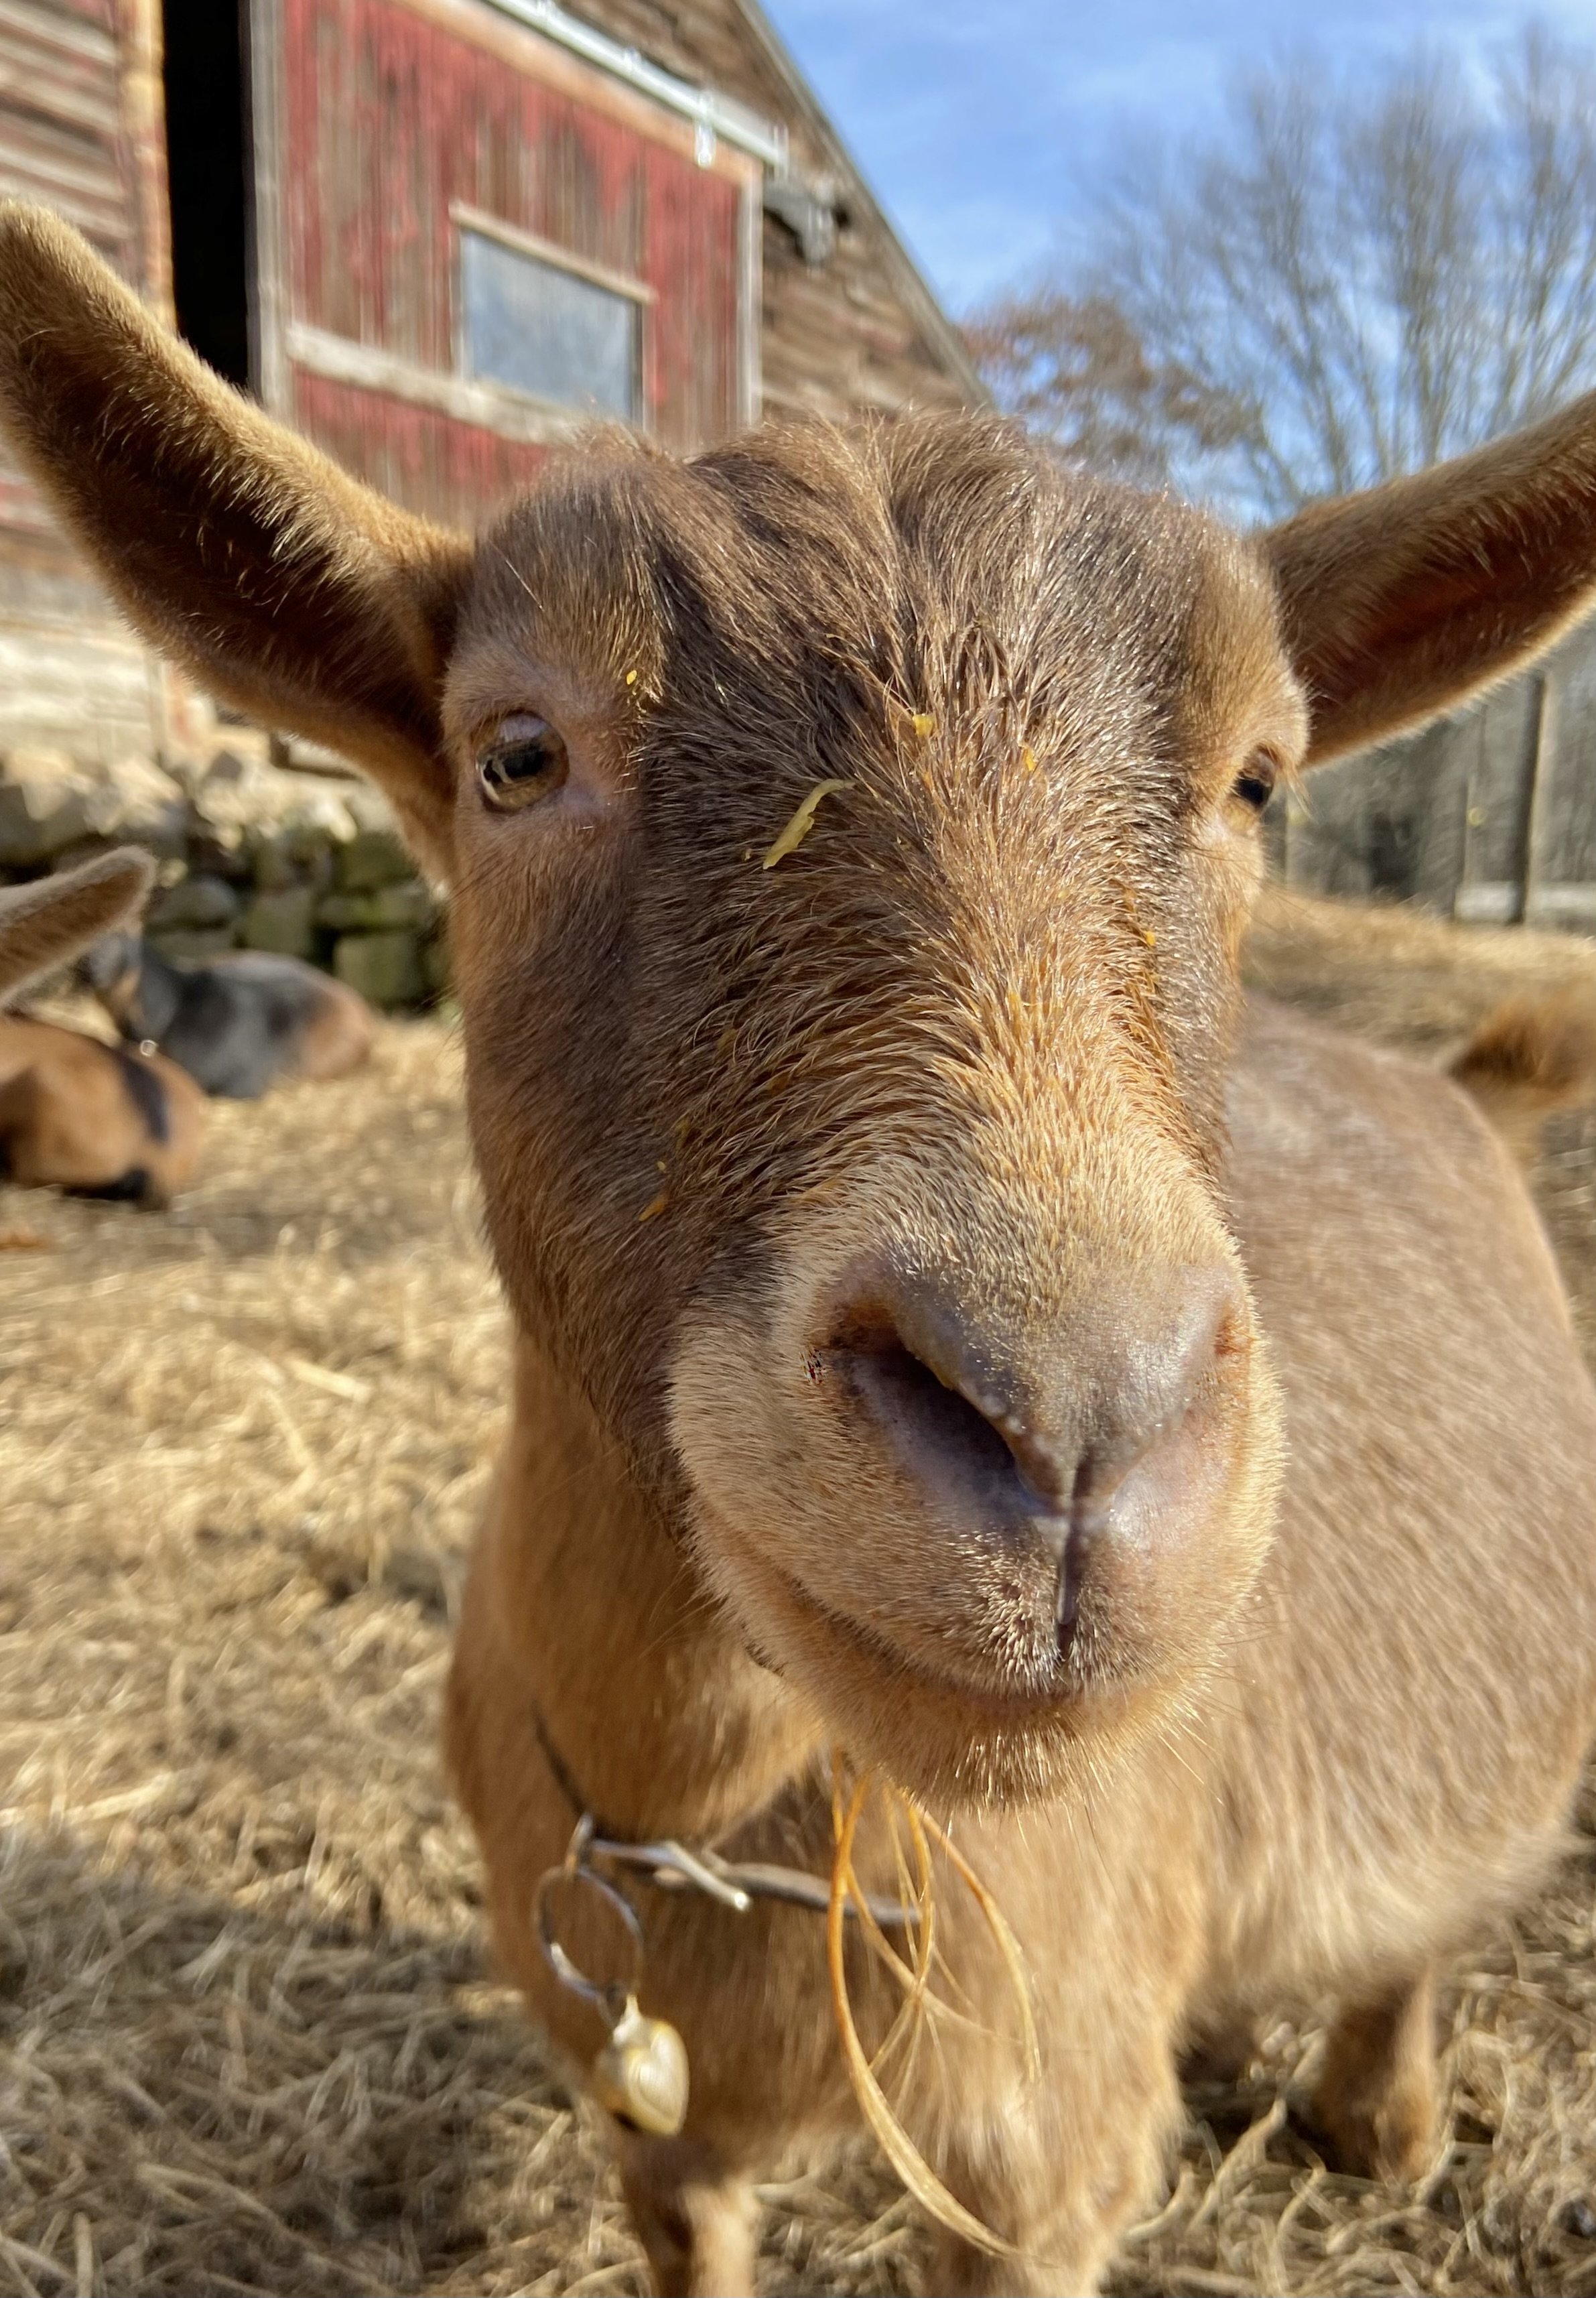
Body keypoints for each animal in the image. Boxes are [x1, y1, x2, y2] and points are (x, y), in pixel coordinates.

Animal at [3, 206, 1596, 2289]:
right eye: (515, 753)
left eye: (1258, 779)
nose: (1071, 1430)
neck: (704, 1807)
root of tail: (1473, 1085)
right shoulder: (649, 2121)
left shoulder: (1045, 2163)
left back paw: (1377, 2108)